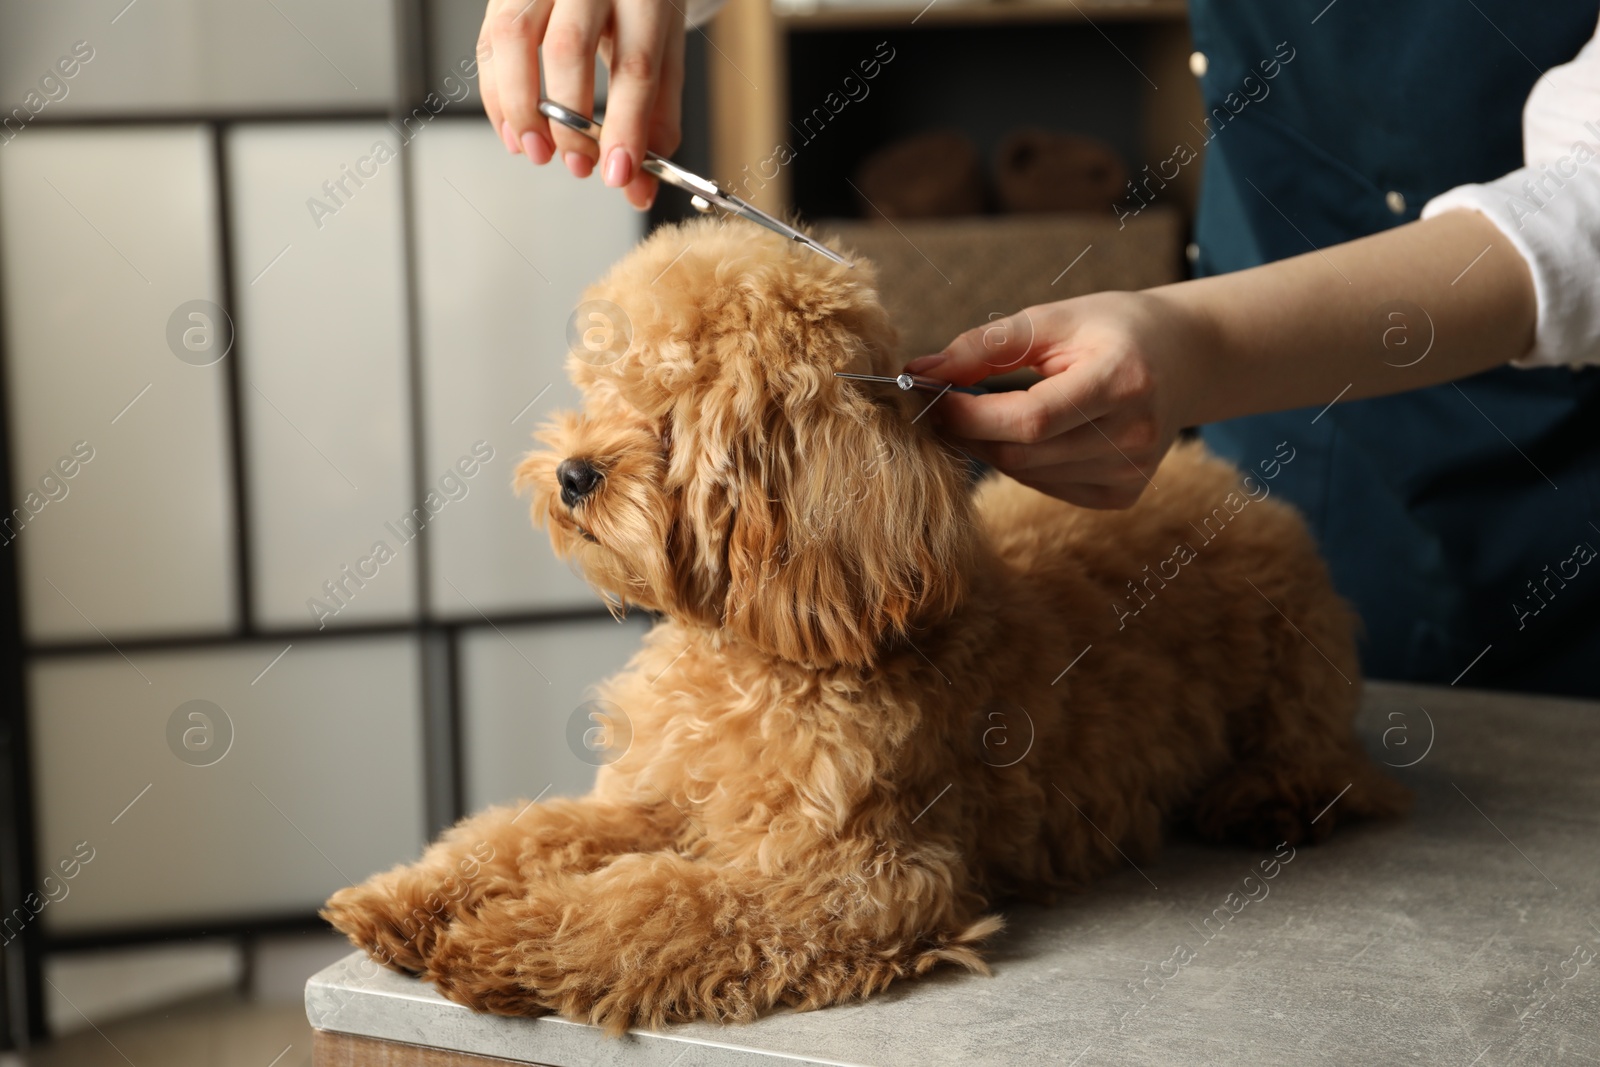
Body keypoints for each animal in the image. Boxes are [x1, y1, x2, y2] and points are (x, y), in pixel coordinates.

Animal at [321, 214, 1401, 1036]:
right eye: (606, 385)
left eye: (675, 408)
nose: (574, 473)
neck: (755, 654)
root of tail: (1236, 490)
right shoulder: (663, 798)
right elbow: (534, 830)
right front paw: (412, 896)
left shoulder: (854, 879)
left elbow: (655, 900)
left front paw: (499, 939)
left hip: (1299, 679)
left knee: (1328, 760)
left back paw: (1269, 800)